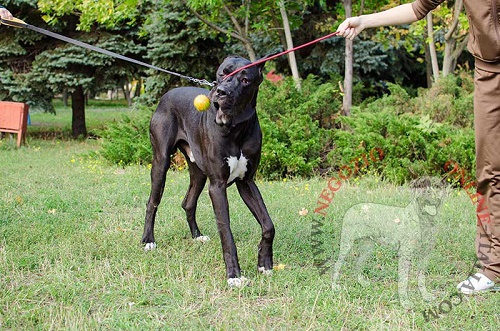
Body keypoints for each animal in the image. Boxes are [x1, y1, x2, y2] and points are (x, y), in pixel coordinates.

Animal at [141, 55, 276, 286]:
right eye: (222, 73)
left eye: (245, 80)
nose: (221, 92)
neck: (235, 129)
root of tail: (166, 95)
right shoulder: (217, 186)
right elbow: (226, 232)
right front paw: (234, 275)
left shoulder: (247, 182)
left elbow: (268, 225)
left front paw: (264, 262)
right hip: (160, 163)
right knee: (153, 202)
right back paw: (148, 240)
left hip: (198, 172)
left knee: (188, 202)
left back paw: (197, 236)